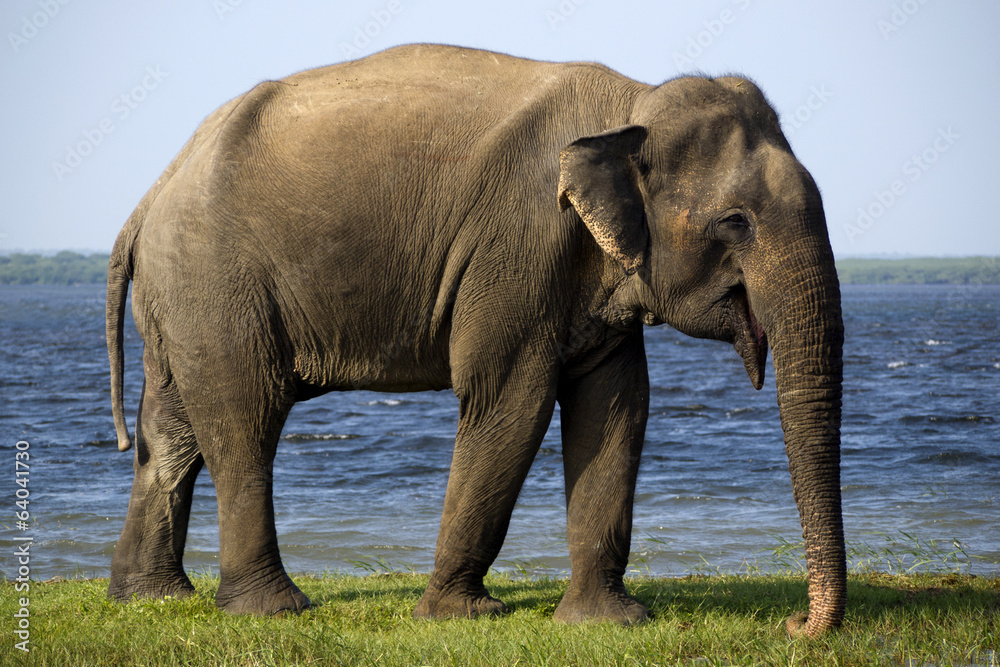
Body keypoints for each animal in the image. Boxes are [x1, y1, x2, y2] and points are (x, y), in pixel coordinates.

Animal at [106, 44, 845, 637]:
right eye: (736, 221)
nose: (793, 625)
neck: (631, 101)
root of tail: (149, 198)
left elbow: (617, 404)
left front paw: (608, 621)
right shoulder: (516, 245)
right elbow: (510, 400)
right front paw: (460, 615)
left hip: (182, 302)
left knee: (170, 431)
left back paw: (153, 598)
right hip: (217, 284)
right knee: (246, 418)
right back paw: (273, 607)